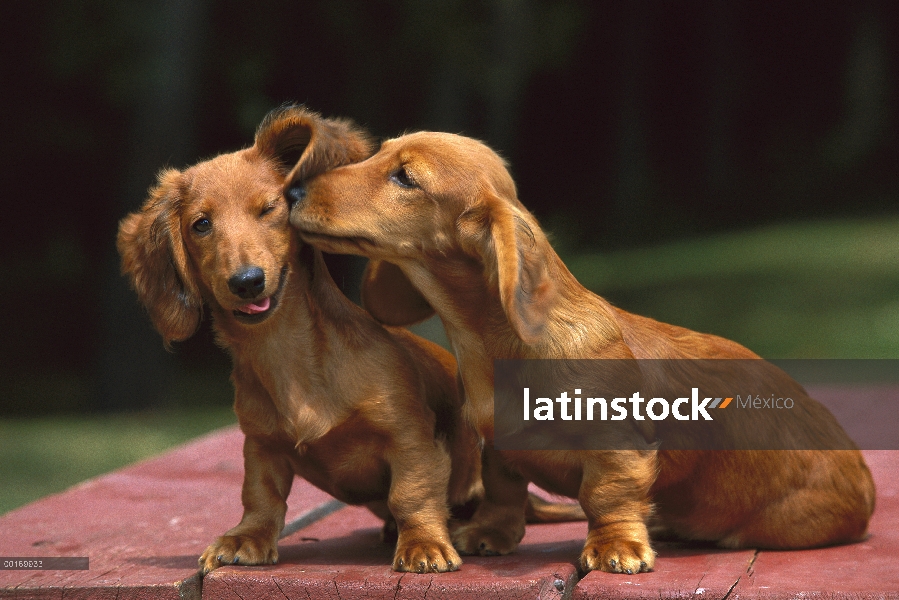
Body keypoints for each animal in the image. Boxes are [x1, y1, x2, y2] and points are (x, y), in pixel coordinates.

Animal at [120, 110, 488, 576]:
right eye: (201, 224)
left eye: (269, 208)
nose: (246, 282)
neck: (286, 353)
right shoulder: (261, 445)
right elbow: (261, 497)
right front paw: (246, 537)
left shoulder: (410, 437)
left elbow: (411, 493)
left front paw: (423, 543)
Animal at [288, 132, 880, 576]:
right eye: (378, 153)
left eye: (405, 178)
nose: (292, 191)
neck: (489, 345)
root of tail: (865, 483)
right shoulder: (496, 445)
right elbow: (504, 488)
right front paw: (489, 532)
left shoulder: (617, 447)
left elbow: (606, 496)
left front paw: (616, 547)